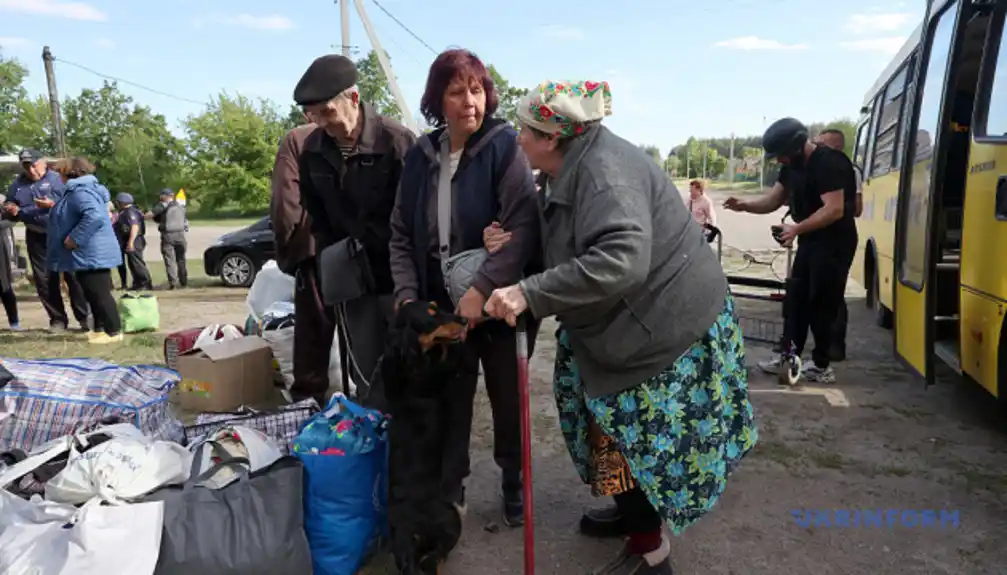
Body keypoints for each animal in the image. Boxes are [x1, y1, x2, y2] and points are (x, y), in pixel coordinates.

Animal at [378, 302, 467, 575]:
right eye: (430, 315)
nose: (464, 319)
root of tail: (411, 529)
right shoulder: (434, 374)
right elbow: (448, 355)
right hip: (451, 521)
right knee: (434, 558)